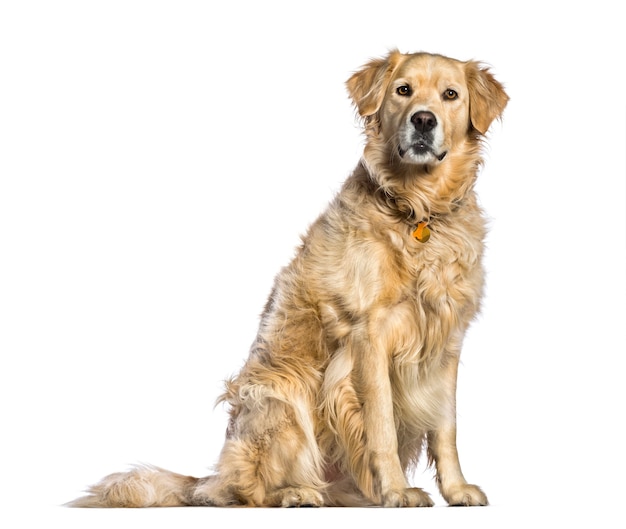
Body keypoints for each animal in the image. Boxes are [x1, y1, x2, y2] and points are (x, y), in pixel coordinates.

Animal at [69, 50, 508, 508]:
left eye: (450, 95)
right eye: (403, 90)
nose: (423, 120)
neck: (418, 211)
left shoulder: (447, 337)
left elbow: (446, 427)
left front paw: (456, 489)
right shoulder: (370, 336)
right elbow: (382, 425)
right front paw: (396, 491)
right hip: (281, 394)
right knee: (245, 492)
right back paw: (296, 493)